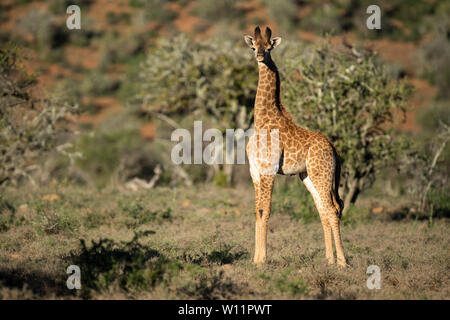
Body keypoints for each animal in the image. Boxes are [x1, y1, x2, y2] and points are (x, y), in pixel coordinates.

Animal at [244, 26, 346, 268]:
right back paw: (329, 259)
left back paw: (342, 262)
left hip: (322, 175)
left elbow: (265, 210)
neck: (262, 120)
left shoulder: (269, 170)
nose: (259, 56)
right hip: (308, 176)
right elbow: (257, 211)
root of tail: (334, 148)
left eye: (268, 47)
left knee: (332, 209)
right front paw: (255, 259)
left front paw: (262, 260)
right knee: (324, 210)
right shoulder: (254, 171)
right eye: (253, 47)